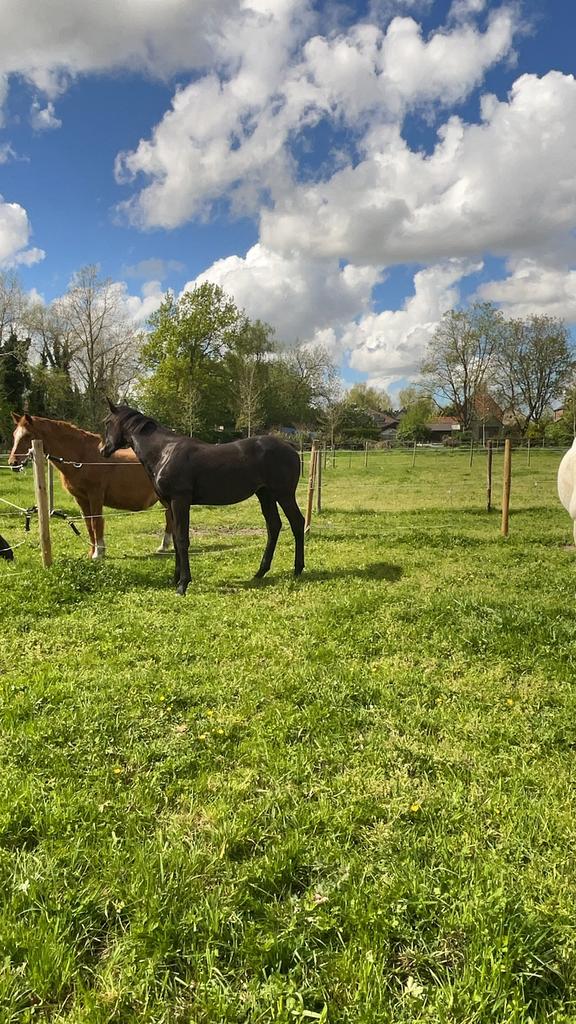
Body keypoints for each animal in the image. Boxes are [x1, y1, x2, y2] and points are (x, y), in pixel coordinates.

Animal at [8, 413, 173, 559]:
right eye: (15, 434)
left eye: (27, 435)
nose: (13, 463)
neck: (82, 458)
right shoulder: (81, 499)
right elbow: (88, 524)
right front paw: (92, 552)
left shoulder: (95, 496)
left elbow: (96, 522)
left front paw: (98, 553)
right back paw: (164, 546)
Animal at [101, 401, 305, 595]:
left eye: (107, 422)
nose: (103, 450)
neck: (164, 452)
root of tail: (290, 448)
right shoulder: (170, 504)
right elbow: (176, 541)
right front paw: (175, 579)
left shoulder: (180, 501)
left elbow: (182, 539)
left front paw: (183, 584)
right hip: (265, 495)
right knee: (274, 526)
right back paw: (260, 572)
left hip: (284, 495)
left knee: (297, 522)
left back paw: (298, 569)